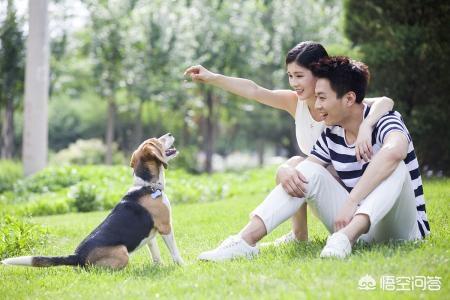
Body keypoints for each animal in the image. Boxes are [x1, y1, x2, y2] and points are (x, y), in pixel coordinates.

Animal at [1, 134, 184, 270]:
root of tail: (76, 256)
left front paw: (158, 266)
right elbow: (174, 251)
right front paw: (182, 265)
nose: (169, 134)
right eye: (157, 141)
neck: (147, 186)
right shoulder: (165, 226)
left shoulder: (150, 235)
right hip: (122, 252)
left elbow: (156, 254)